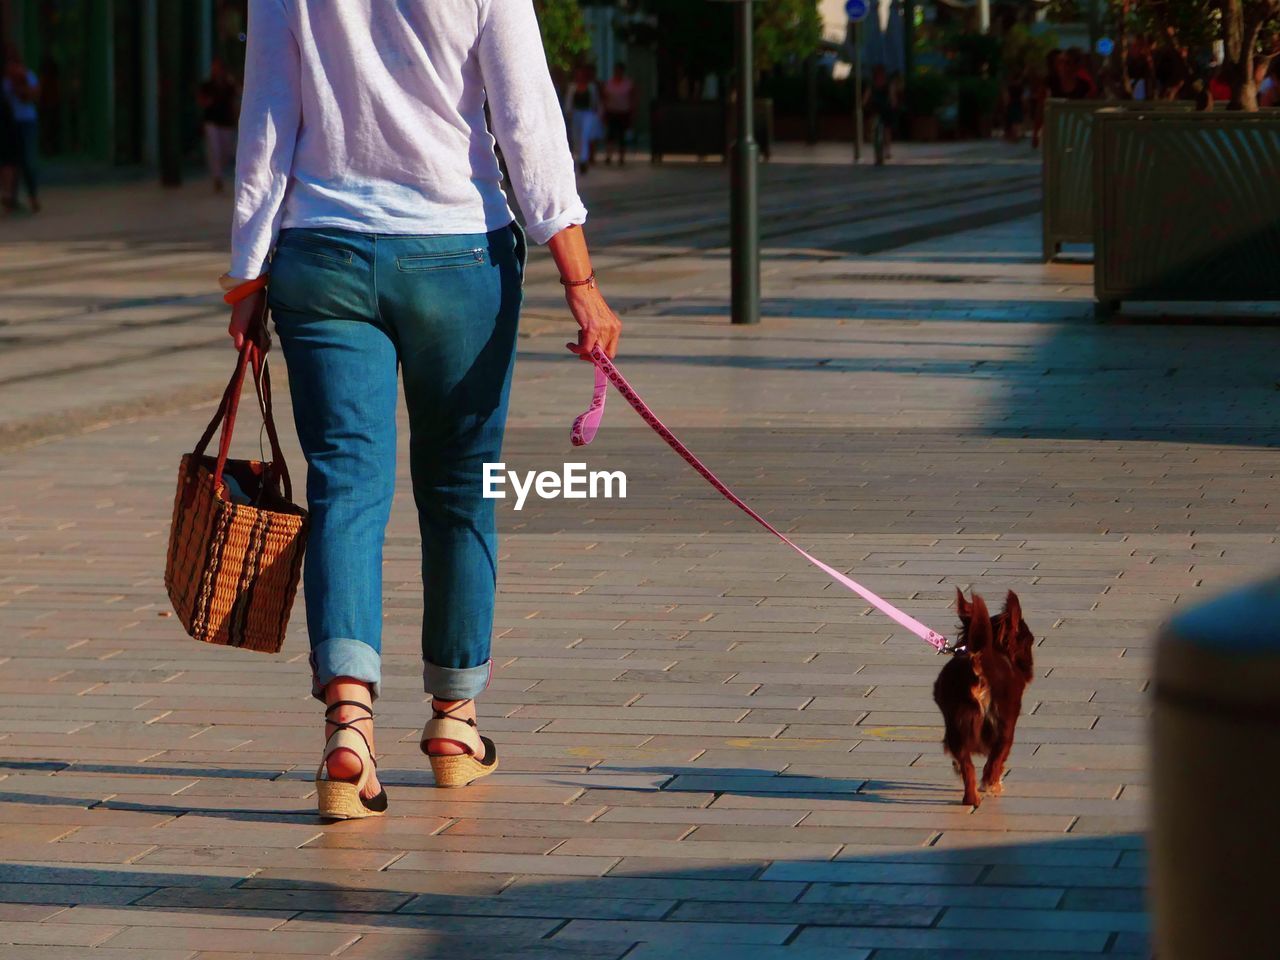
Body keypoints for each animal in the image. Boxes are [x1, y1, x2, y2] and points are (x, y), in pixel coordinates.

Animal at [936, 591, 1034, 808]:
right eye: (1030, 642)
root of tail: (979, 661)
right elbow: (997, 759)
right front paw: (994, 784)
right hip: (1005, 724)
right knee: (993, 760)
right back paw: (987, 788)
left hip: (955, 725)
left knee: (967, 766)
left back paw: (970, 799)